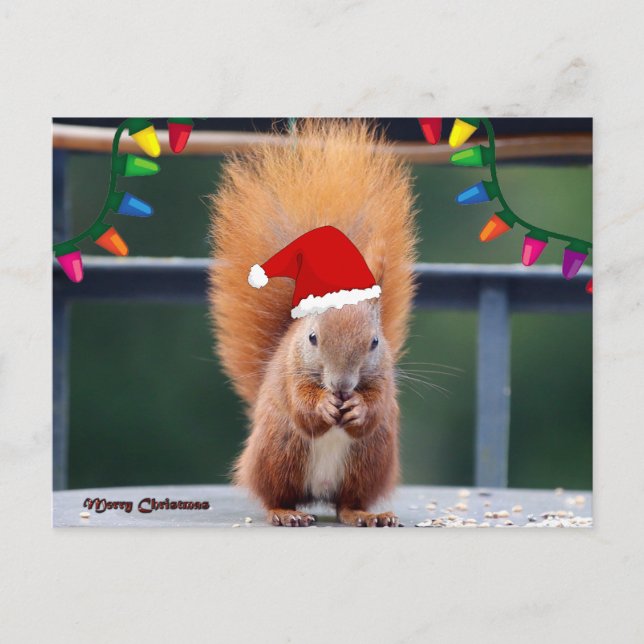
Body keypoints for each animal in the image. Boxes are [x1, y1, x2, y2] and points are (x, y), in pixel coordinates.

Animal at [208, 120, 417, 526]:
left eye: (375, 342)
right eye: (312, 338)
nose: (341, 387)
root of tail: (318, 493)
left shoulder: (382, 377)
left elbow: (375, 408)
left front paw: (358, 408)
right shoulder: (292, 374)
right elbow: (303, 407)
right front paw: (322, 407)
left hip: (369, 462)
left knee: (347, 502)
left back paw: (367, 515)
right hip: (278, 452)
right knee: (274, 494)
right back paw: (285, 513)